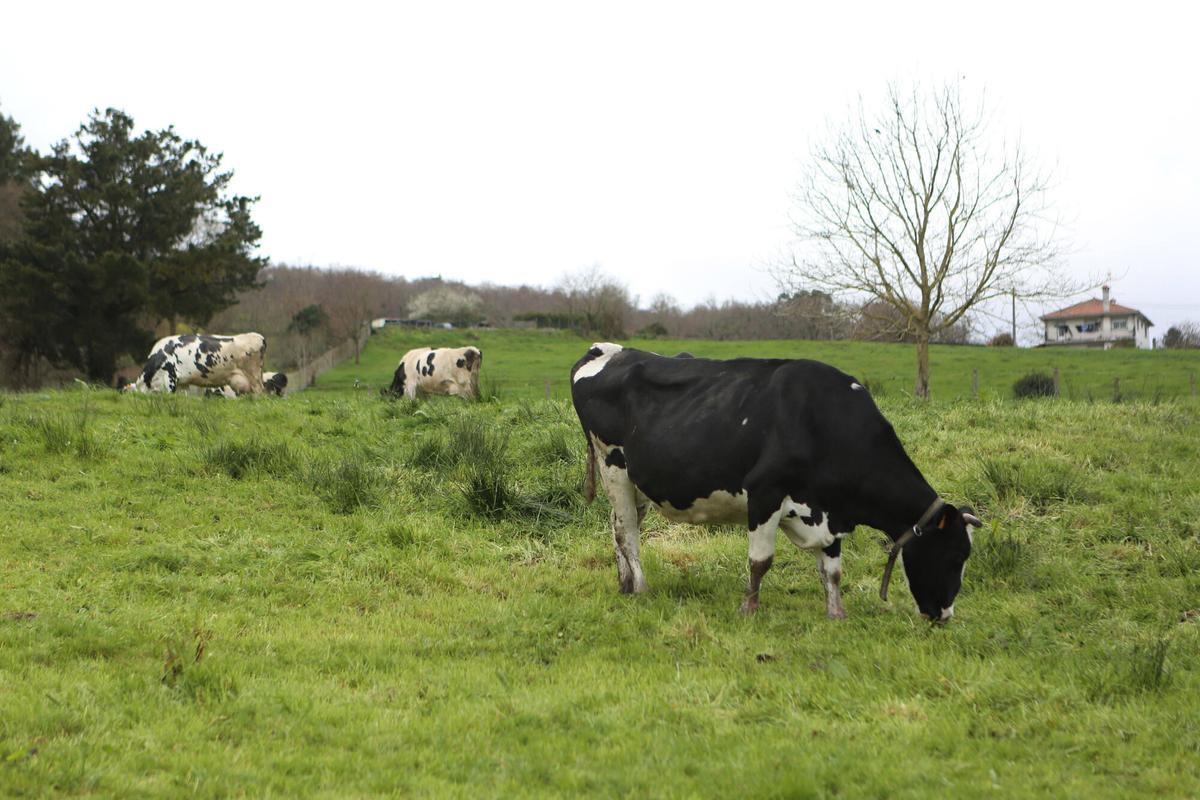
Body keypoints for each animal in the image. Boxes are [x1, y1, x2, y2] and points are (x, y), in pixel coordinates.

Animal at [570, 343, 981, 623]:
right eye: (956, 555)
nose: (945, 615)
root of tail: (607, 349)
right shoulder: (764, 493)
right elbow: (760, 561)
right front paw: (748, 608)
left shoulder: (828, 511)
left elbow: (832, 569)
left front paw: (836, 613)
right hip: (613, 466)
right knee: (627, 533)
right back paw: (641, 588)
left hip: (637, 480)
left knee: (618, 525)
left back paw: (624, 584)